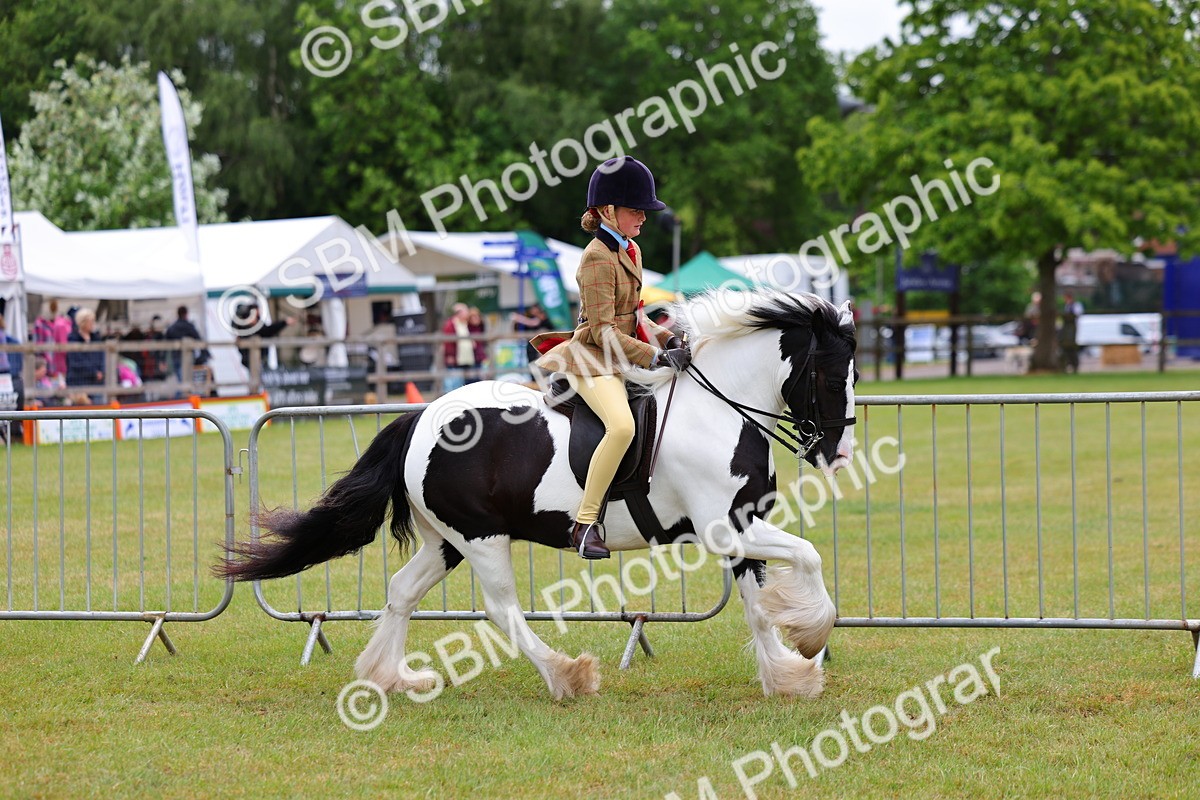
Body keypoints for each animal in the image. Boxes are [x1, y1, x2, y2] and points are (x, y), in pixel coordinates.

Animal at [216, 290, 858, 699]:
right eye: (831, 377)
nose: (839, 454)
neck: (719, 408)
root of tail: (421, 417)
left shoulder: (741, 526)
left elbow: (756, 603)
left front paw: (786, 676)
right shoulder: (728, 527)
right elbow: (808, 557)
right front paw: (811, 636)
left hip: (446, 541)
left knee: (401, 591)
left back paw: (389, 678)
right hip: (481, 538)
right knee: (502, 609)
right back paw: (565, 676)